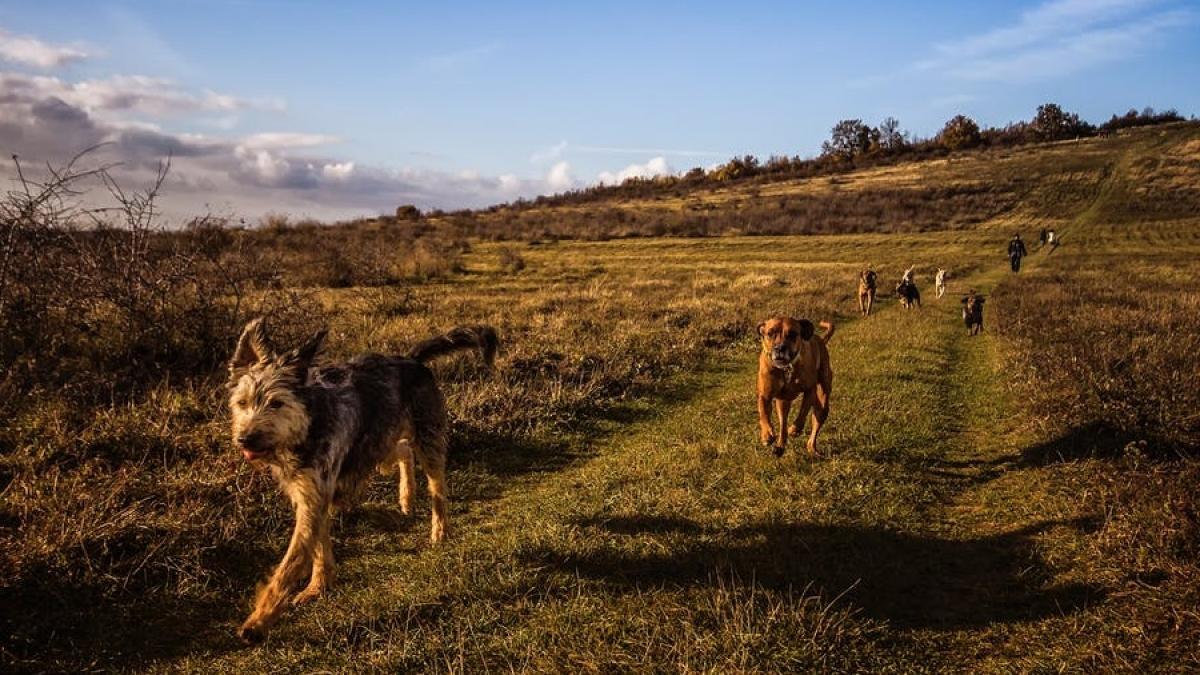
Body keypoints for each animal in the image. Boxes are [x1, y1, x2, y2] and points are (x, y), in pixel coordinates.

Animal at [229, 317, 496, 638]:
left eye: (277, 403)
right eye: (242, 403)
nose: (245, 438)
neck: (308, 426)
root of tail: (410, 359)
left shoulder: (314, 496)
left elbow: (290, 564)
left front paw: (258, 621)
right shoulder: (309, 494)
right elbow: (318, 547)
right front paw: (319, 585)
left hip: (426, 438)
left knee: (438, 487)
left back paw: (440, 530)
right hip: (379, 445)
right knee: (403, 450)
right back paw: (406, 497)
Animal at [758, 317, 835, 456]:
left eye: (793, 334)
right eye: (770, 333)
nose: (780, 348)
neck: (785, 369)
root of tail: (820, 340)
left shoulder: (810, 390)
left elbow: (803, 412)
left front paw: (795, 429)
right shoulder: (765, 395)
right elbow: (763, 413)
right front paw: (766, 435)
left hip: (822, 403)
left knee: (816, 421)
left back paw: (811, 447)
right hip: (783, 402)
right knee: (783, 424)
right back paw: (780, 446)